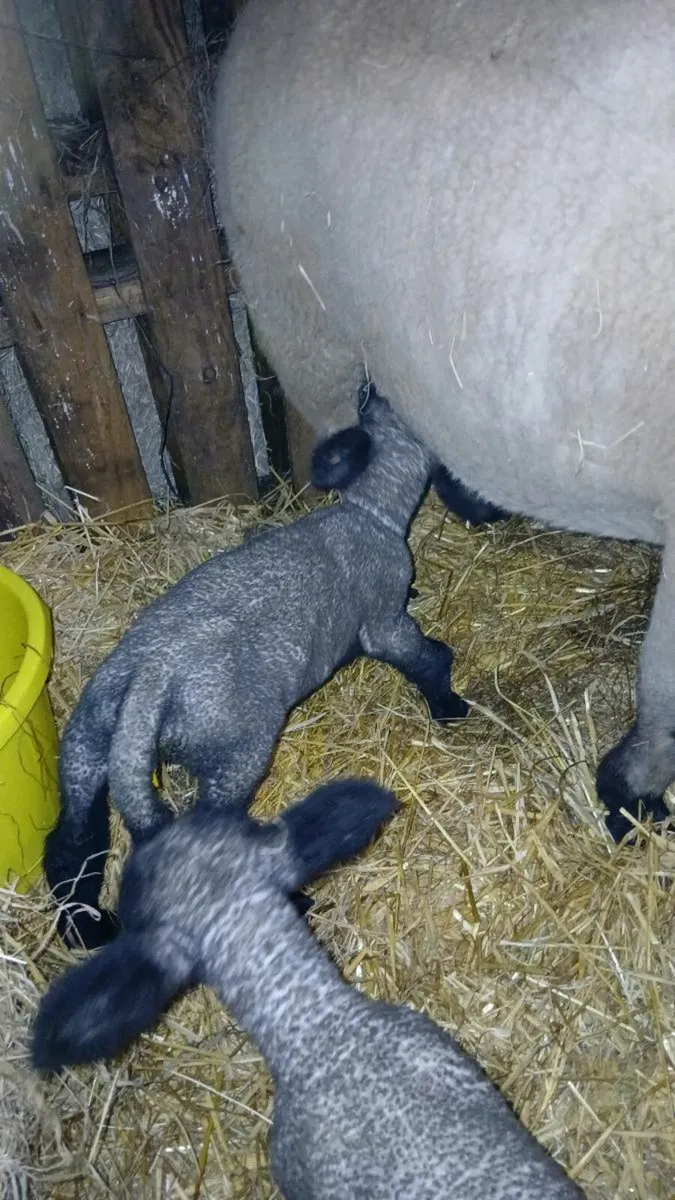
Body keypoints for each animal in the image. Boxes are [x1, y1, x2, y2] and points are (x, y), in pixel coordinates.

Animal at [44, 390, 468, 951]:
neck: (370, 512)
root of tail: (144, 688)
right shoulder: (385, 623)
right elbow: (427, 660)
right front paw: (451, 707)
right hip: (233, 757)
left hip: (84, 752)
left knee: (70, 846)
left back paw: (88, 929)